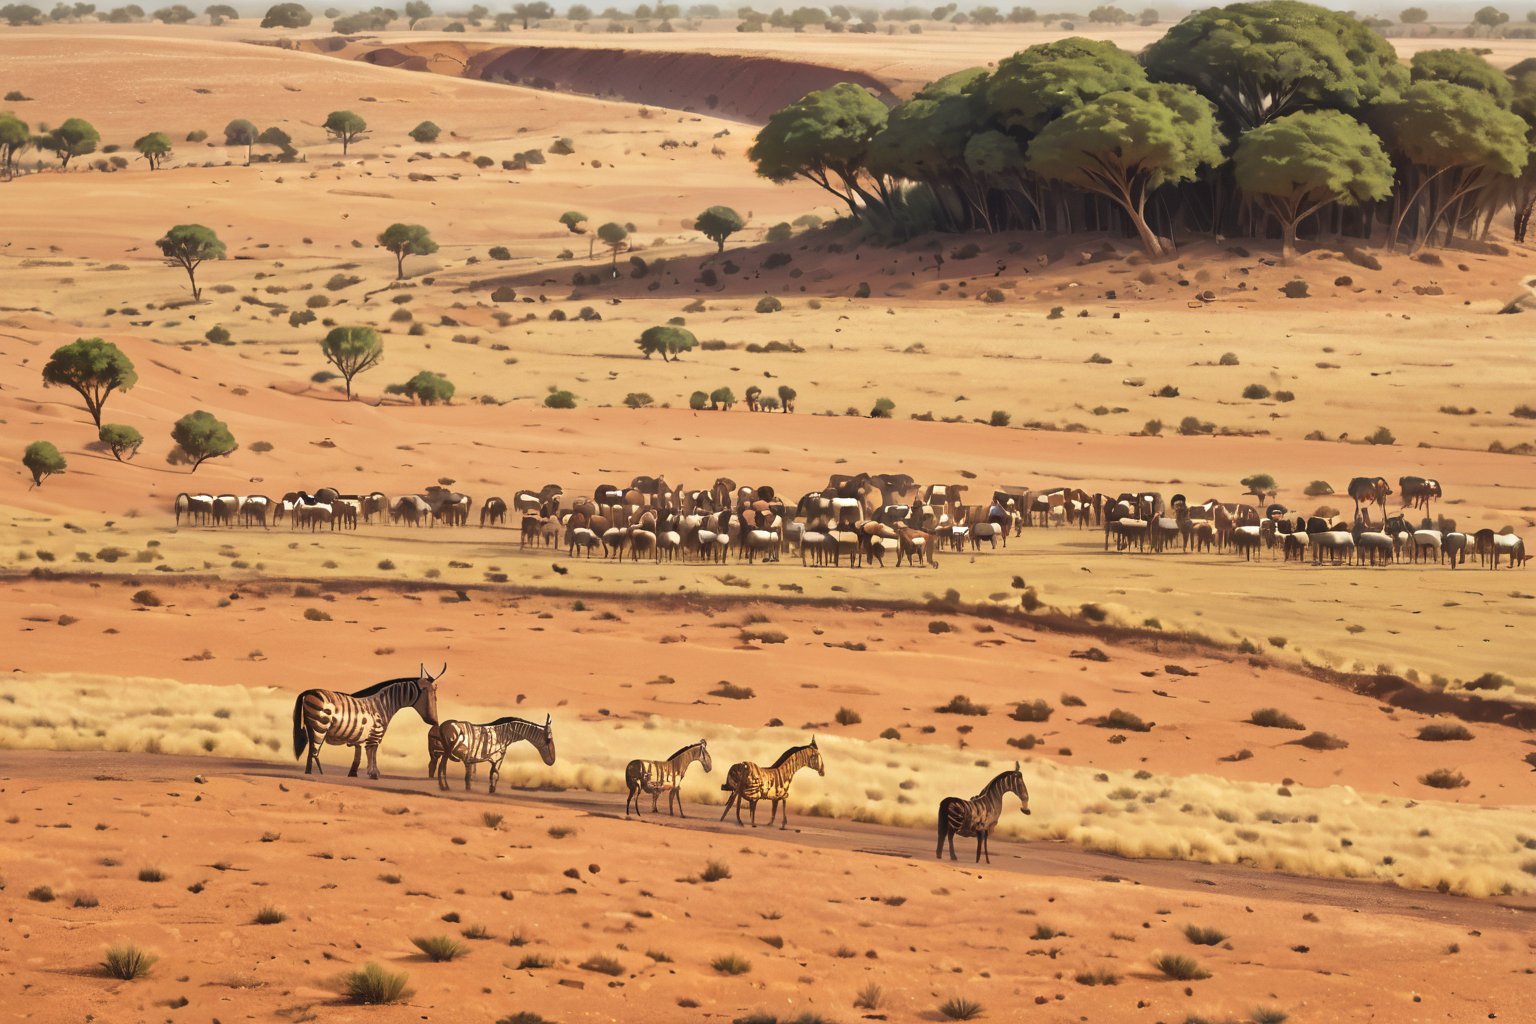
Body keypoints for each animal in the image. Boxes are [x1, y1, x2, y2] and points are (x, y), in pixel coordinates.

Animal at [427, 709, 559, 798]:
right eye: (548, 740)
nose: (552, 761)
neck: (503, 734)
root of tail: (442, 726)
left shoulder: (476, 760)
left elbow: (473, 776)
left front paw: (474, 790)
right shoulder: (497, 759)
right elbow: (494, 775)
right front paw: (491, 791)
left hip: (439, 752)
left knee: (435, 765)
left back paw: (442, 785)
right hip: (446, 752)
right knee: (442, 767)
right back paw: (444, 787)